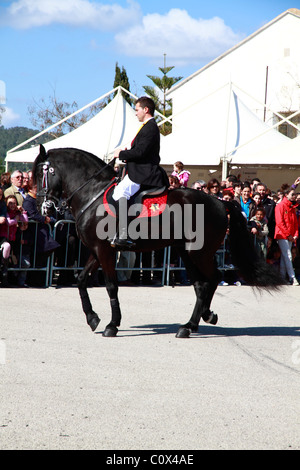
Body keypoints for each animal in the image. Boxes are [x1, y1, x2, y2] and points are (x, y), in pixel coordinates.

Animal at [32, 146, 284, 338]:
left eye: (43, 174)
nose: (45, 208)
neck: (92, 195)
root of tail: (219, 201)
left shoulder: (104, 251)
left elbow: (111, 286)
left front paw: (112, 325)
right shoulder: (96, 251)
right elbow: (81, 280)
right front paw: (92, 318)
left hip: (198, 252)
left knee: (212, 279)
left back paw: (195, 322)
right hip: (186, 253)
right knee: (202, 284)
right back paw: (194, 322)